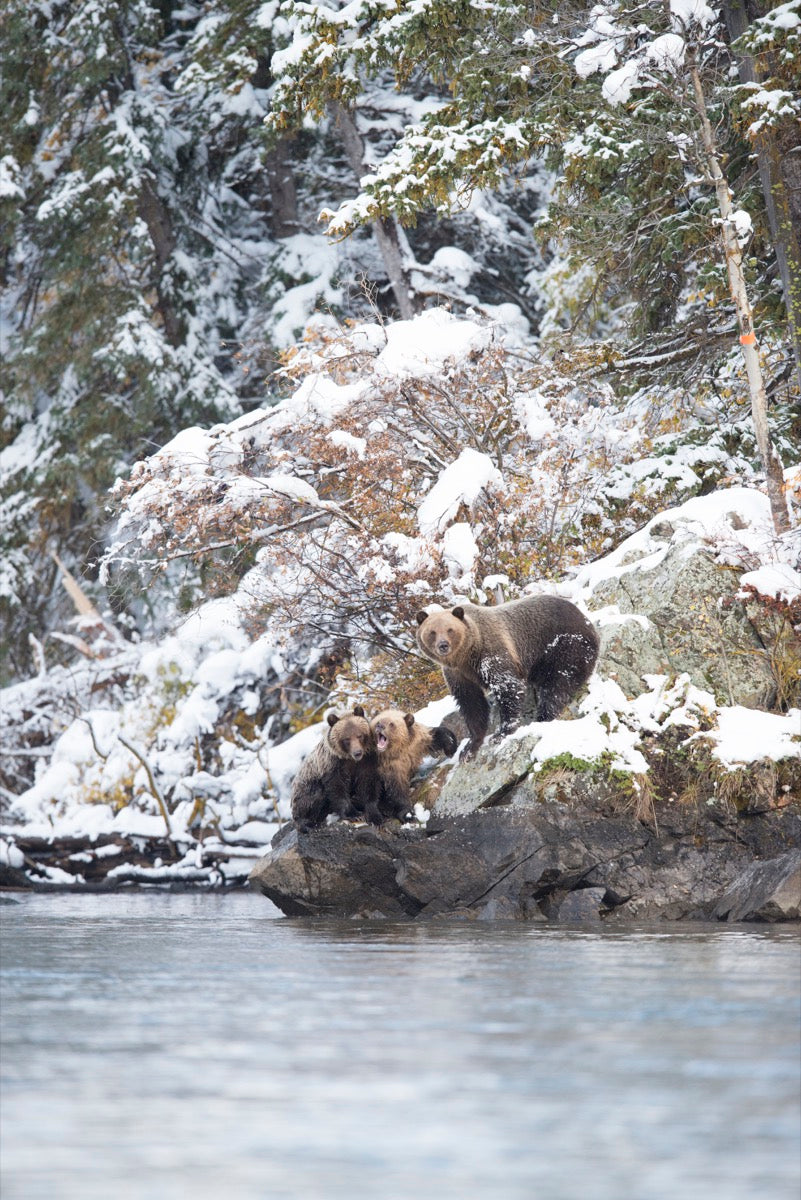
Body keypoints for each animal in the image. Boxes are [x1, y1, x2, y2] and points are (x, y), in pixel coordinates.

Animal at [415, 595, 599, 755]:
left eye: (450, 629)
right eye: (432, 632)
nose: (443, 645)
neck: (465, 656)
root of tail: (586, 619)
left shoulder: (491, 654)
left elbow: (508, 687)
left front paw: (502, 732)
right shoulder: (458, 674)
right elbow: (471, 703)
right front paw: (469, 747)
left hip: (564, 644)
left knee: (558, 682)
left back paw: (544, 716)